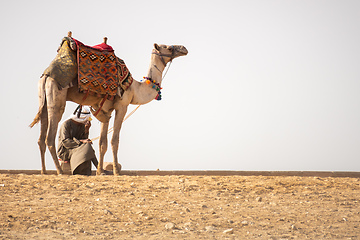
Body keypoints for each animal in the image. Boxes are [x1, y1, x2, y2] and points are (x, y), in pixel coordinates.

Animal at [30, 34, 188, 175]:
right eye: (168, 47)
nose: (184, 48)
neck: (135, 88)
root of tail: (46, 75)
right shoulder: (122, 106)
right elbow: (114, 141)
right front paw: (116, 172)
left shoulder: (105, 111)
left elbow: (102, 143)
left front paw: (101, 171)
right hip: (57, 96)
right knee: (50, 136)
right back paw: (59, 171)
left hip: (43, 99)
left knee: (41, 137)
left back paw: (44, 171)